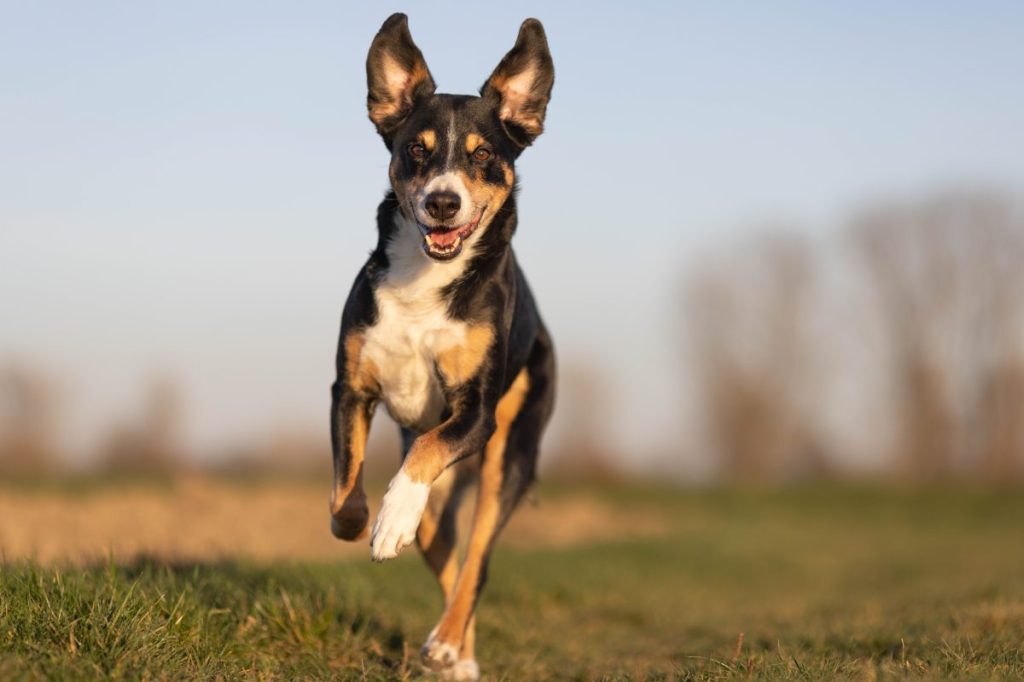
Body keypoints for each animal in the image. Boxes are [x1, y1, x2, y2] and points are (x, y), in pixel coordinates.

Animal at [327, 13, 557, 675]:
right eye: (416, 149)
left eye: (483, 155)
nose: (443, 201)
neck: (424, 283)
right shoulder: (350, 388)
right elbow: (346, 489)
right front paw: (365, 522)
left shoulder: (475, 411)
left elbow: (428, 450)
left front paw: (390, 517)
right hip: (445, 501)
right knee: (446, 554)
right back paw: (455, 654)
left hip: (508, 457)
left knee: (477, 563)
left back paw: (450, 641)